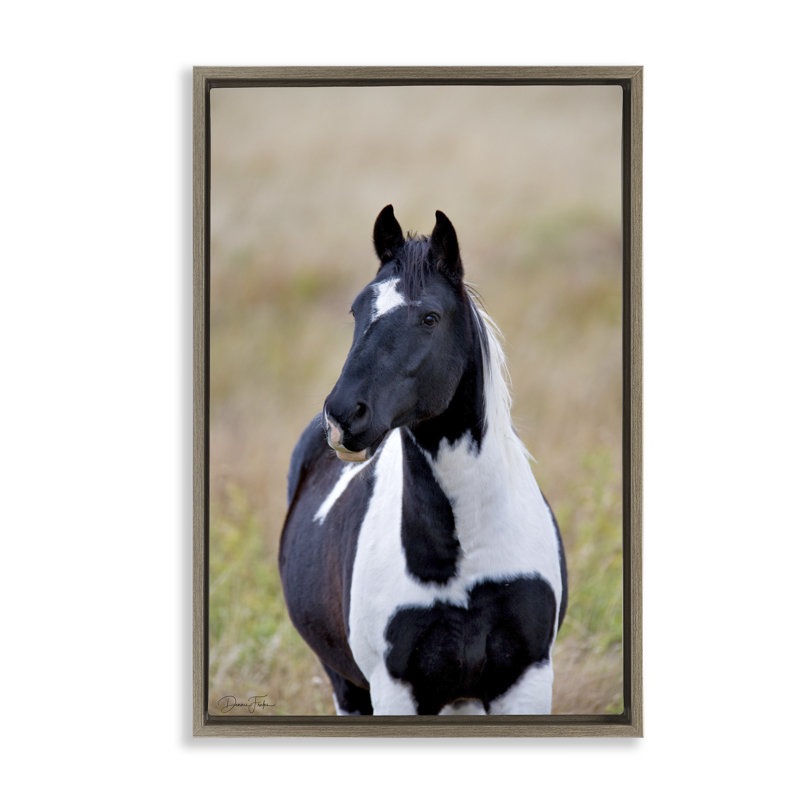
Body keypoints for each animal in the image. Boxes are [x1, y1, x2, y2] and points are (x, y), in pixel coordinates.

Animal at [279, 205, 567, 715]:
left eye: (430, 317)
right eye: (357, 310)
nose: (342, 416)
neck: (463, 558)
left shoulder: (526, 680)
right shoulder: (396, 690)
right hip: (347, 687)